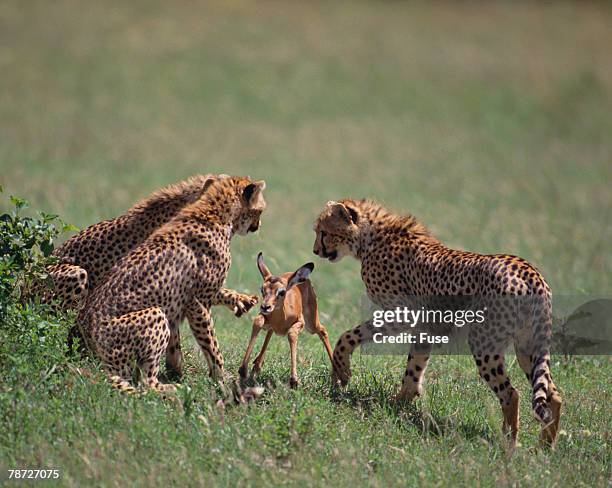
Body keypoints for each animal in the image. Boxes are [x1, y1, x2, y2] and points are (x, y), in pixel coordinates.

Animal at [76, 175, 266, 392]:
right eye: (260, 210)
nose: (259, 224)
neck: (214, 213)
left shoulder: (191, 296)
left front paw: (240, 299)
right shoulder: (198, 303)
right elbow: (211, 344)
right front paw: (221, 379)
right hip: (155, 314)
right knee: (146, 383)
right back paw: (173, 389)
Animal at [316, 198, 564, 446]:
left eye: (323, 232)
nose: (315, 251)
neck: (371, 236)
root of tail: (527, 270)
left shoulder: (403, 313)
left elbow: (349, 335)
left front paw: (341, 373)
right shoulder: (425, 325)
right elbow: (415, 365)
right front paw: (399, 402)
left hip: (484, 341)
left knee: (511, 394)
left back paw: (508, 444)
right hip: (528, 345)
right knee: (553, 394)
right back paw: (544, 447)